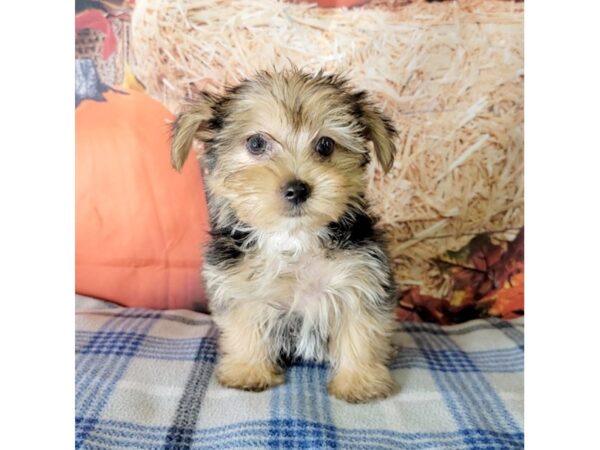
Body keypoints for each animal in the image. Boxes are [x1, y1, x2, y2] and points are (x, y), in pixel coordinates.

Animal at [170, 70, 398, 404]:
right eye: (256, 143)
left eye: (325, 145)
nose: (297, 188)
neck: (293, 239)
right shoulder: (240, 285)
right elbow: (245, 328)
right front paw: (249, 370)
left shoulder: (360, 280)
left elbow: (360, 332)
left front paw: (360, 382)